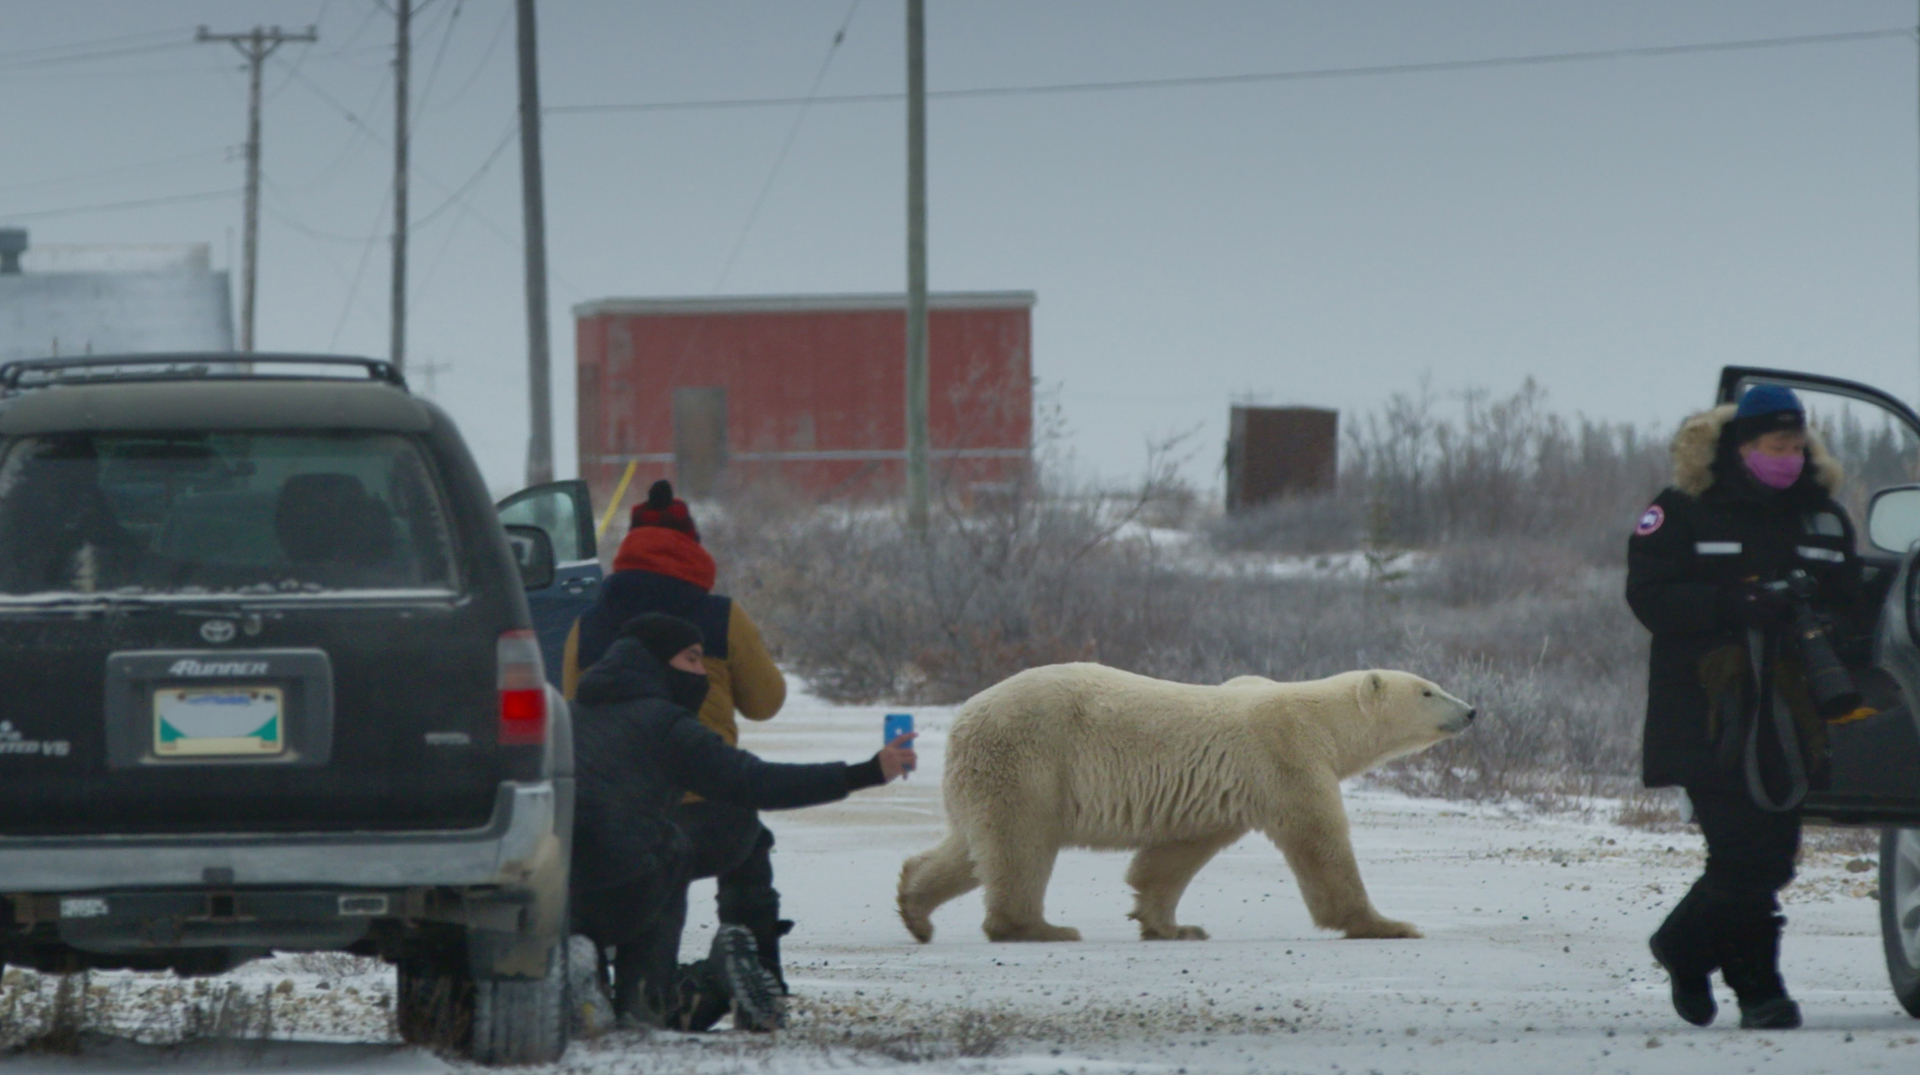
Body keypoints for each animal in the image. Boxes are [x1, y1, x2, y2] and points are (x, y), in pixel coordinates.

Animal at [894, 660, 1466, 944]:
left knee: (971, 848)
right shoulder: (1285, 757)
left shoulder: (1224, 790)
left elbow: (1175, 854)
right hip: (1029, 758)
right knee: (1021, 845)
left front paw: (1172, 926)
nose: (1473, 711)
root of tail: (964, 716)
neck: (1321, 720)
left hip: (986, 775)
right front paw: (1389, 925)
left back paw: (916, 909)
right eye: (1428, 691)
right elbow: (1320, 844)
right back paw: (1039, 928)